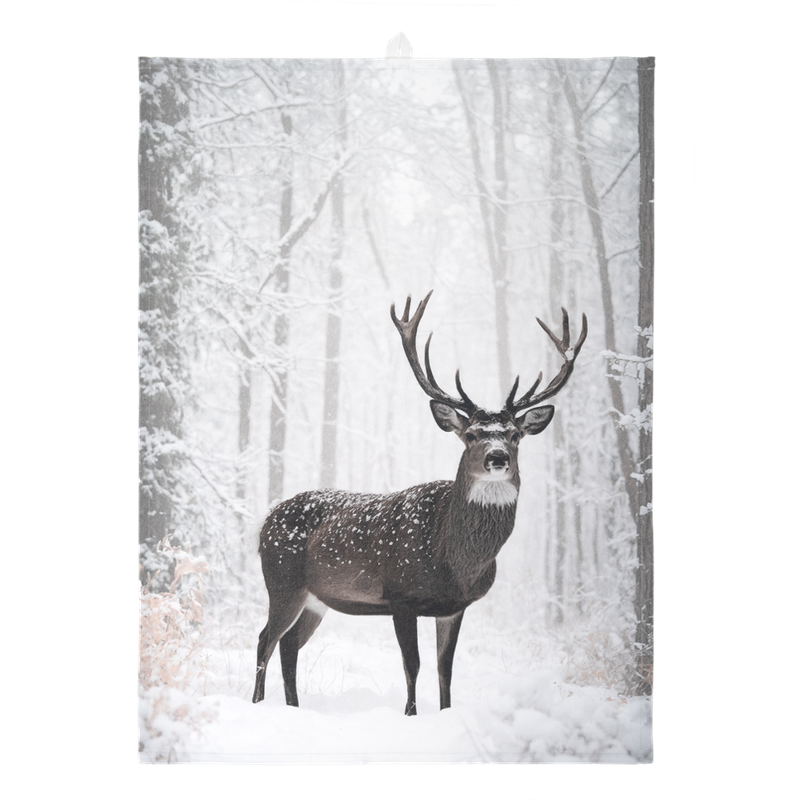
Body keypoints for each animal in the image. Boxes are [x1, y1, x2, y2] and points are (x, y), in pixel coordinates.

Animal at [252, 290, 587, 715]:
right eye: (471, 434)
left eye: (514, 434)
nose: (497, 457)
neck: (455, 561)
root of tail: (264, 522)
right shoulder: (401, 595)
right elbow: (413, 664)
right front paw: (410, 714)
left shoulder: (455, 607)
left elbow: (446, 669)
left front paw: (445, 713)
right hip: (282, 580)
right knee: (265, 639)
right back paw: (257, 703)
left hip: (316, 598)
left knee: (289, 645)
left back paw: (293, 708)